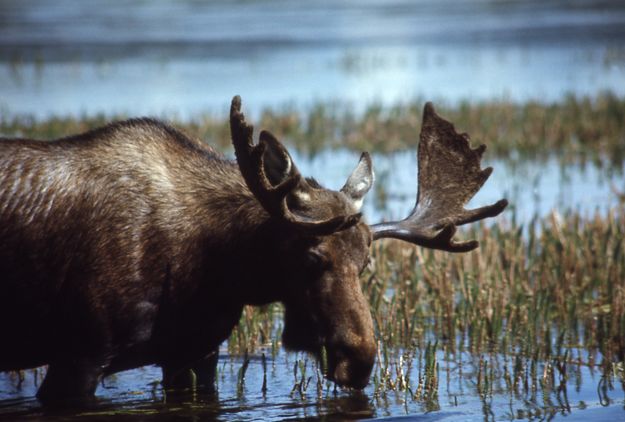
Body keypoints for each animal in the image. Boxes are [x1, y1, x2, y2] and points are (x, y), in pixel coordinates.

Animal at [0, 95, 504, 402]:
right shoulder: (79, 355)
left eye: (365, 263)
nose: (359, 360)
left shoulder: (194, 354)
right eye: (311, 258)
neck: (217, 274)